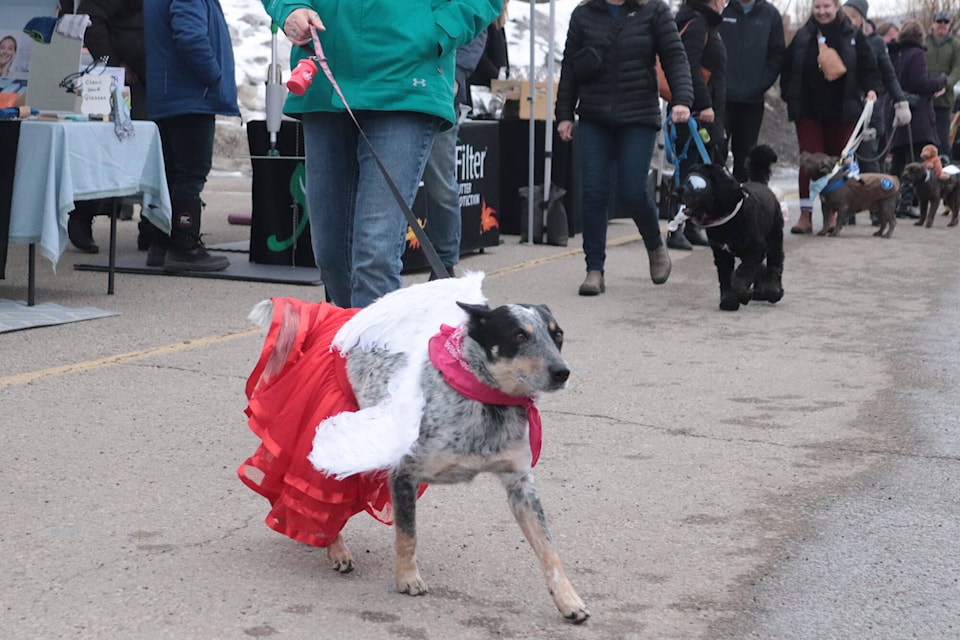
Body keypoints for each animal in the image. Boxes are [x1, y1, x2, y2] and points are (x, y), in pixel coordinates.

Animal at [680, 148, 784, 312]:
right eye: (688, 178)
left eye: (699, 184)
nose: (678, 190)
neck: (729, 219)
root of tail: (761, 183)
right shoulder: (722, 253)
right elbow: (726, 278)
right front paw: (729, 301)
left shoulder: (755, 249)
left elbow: (741, 273)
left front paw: (742, 293)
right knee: (761, 267)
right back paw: (760, 292)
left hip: (774, 237)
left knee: (775, 263)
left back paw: (773, 291)